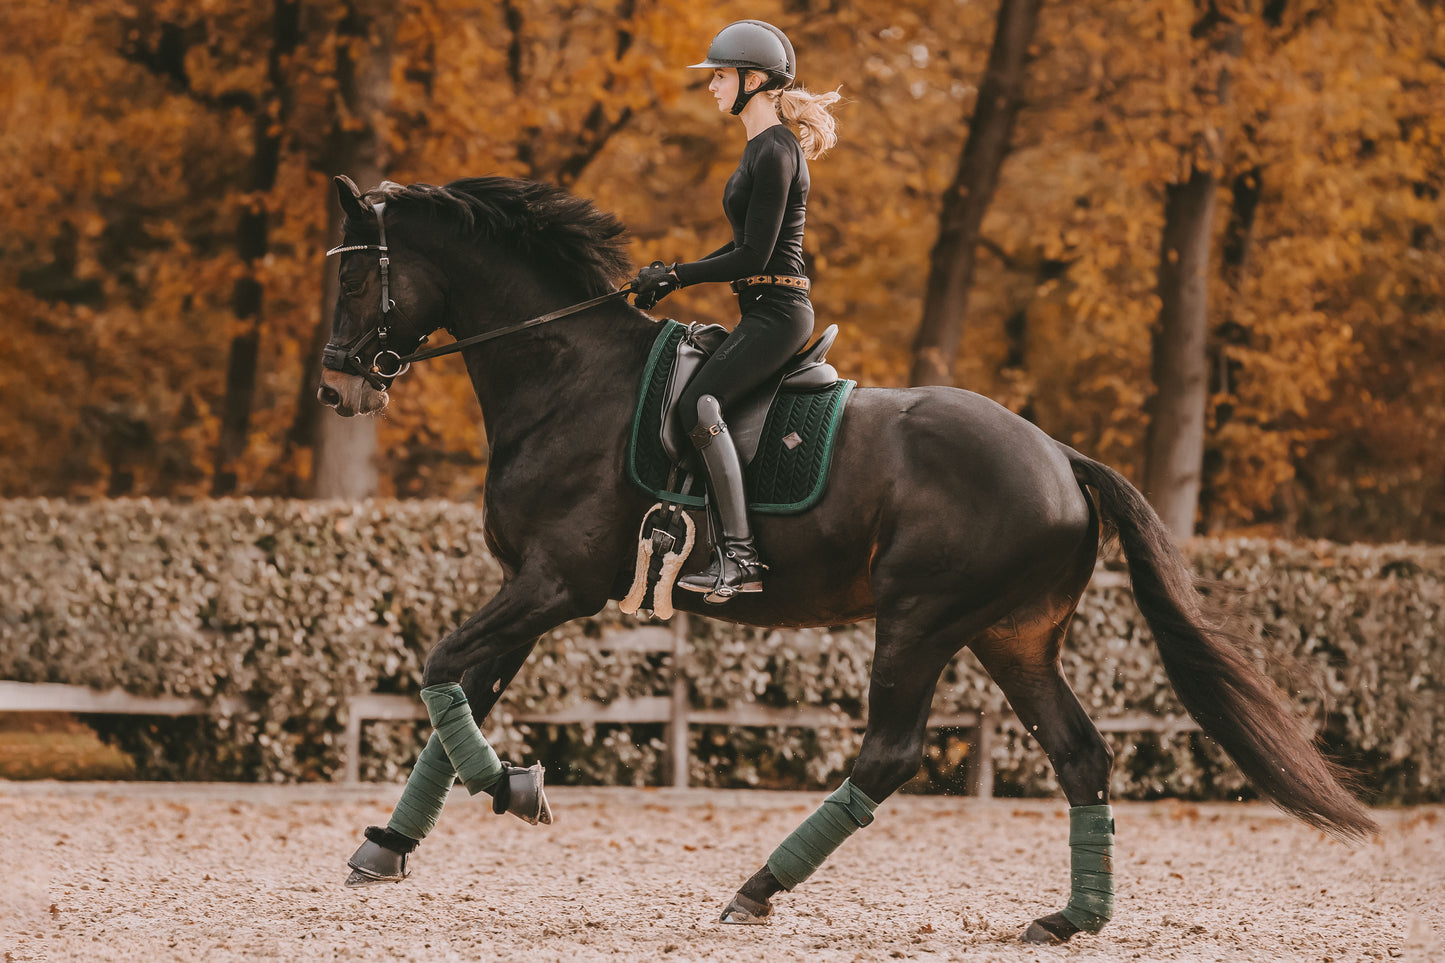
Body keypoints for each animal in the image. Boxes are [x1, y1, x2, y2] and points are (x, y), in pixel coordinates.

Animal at [319, 174, 1375, 942]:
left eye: (352, 278)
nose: (337, 389)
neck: (565, 373)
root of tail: (1060, 458)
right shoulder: (526, 586)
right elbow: (460, 692)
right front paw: (389, 844)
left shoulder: (554, 583)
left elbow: (443, 668)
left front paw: (516, 789)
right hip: (1010, 637)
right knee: (1078, 751)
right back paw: (1071, 917)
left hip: (920, 620)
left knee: (891, 750)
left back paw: (755, 888)